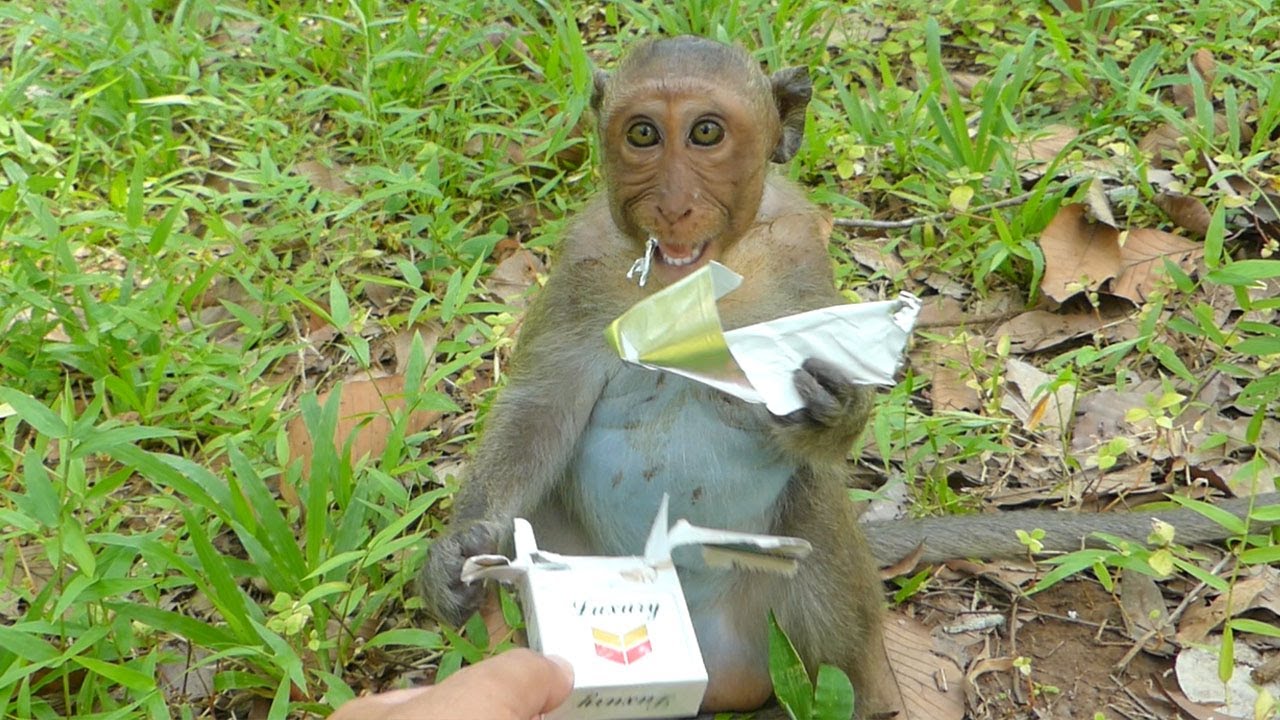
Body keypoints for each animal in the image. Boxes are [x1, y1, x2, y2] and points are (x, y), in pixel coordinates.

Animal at [419, 36, 1280, 718]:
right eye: (642, 135)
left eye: (705, 133)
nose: (671, 204)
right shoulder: (583, 262)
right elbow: (541, 408)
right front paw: (462, 548)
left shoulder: (801, 249)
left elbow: (818, 431)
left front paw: (830, 406)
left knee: (810, 511)